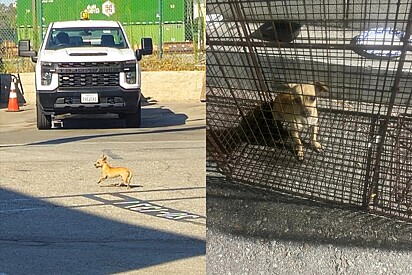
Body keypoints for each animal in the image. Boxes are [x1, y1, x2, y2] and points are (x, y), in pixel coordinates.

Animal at [206, 0, 412, 222]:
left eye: (313, 98)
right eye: (297, 99)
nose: (306, 112)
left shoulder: (315, 124)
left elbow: (313, 135)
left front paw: (315, 144)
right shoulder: (295, 130)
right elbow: (297, 141)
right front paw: (300, 151)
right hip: (276, 115)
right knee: (279, 123)